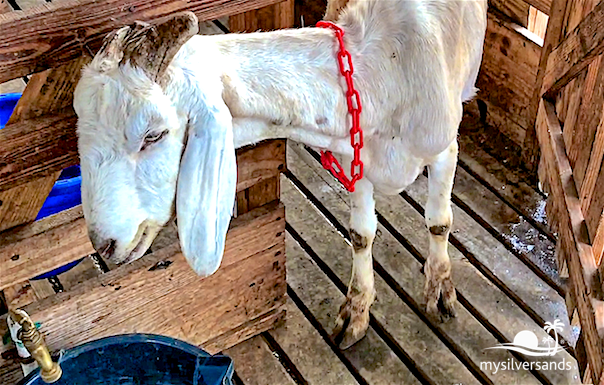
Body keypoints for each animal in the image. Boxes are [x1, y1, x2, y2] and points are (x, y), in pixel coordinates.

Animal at [74, 0, 490, 348]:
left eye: (153, 134)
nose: (104, 244)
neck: (382, 68)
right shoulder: (355, 157)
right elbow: (361, 235)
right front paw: (355, 313)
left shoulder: (444, 150)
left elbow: (439, 221)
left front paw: (440, 292)